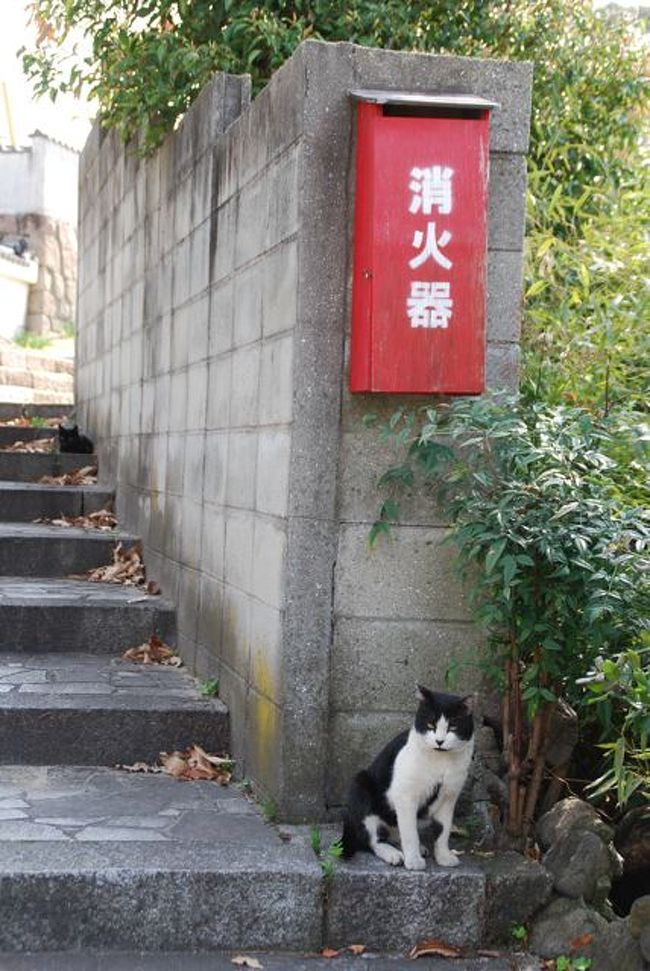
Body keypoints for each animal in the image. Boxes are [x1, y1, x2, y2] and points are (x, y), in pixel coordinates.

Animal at [342, 688, 474, 868]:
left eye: (453, 726)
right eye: (430, 725)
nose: (439, 741)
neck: (441, 762)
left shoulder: (448, 798)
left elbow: (443, 830)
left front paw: (444, 857)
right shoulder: (405, 796)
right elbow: (410, 833)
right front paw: (413, 861)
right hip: (361, 785)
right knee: (371, 839)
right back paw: (393, 854)